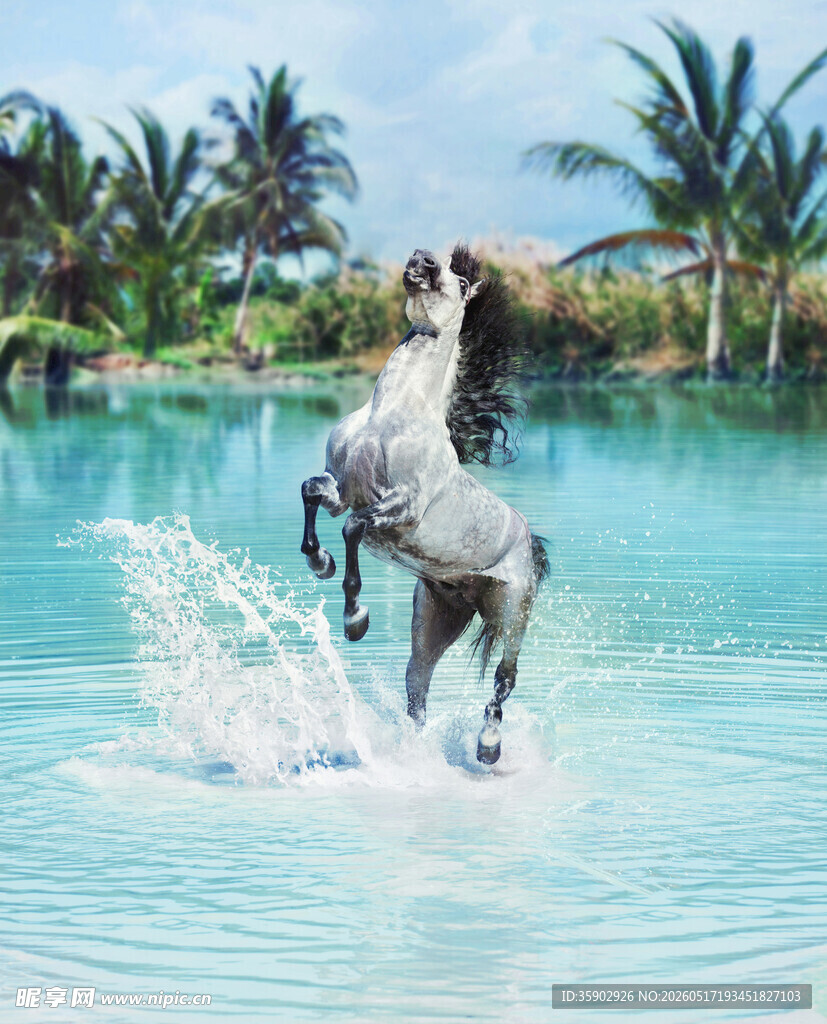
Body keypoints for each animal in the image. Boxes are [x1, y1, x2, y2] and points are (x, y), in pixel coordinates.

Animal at [300, 243, 549, 765]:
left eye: (461, 282)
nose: (423, 262)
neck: (391, 414)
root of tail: (530, 538)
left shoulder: (402, 508)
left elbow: (354, 528)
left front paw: (355, 618)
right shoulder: (341, 488)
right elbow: (312, 492)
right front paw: (320, 562)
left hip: (514, 611)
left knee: (505, 677)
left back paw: (488, 746)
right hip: (436, 618)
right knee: (418, 684)